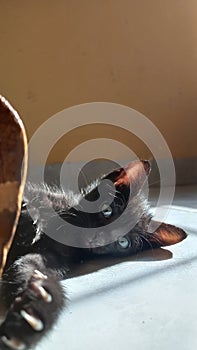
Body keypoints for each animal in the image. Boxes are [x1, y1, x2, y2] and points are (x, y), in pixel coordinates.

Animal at [0, 161, 186, 350]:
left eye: (123, 242)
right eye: (107, 211)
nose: (97, 239)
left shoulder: (50, 256)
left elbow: (28, 268)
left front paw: (35, 309)